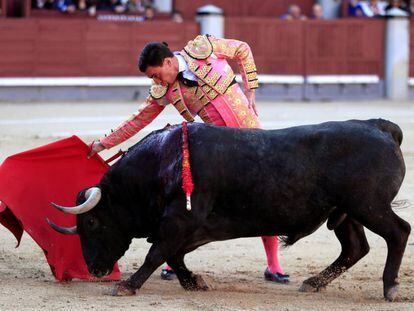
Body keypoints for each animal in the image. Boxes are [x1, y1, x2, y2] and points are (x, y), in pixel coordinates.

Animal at [48, 119, 410, 302]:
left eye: (91, 221)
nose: (95, 270)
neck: (162, 162)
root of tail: (381, 128)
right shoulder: (192, 228)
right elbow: (172, 256)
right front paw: (194, 282)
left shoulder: (181, 220)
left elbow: (157, 253)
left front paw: (127, 285)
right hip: (346, 213)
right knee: (355, 248)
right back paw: (313, 283)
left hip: (368, 205)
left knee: (399, 232)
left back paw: (390, 288)